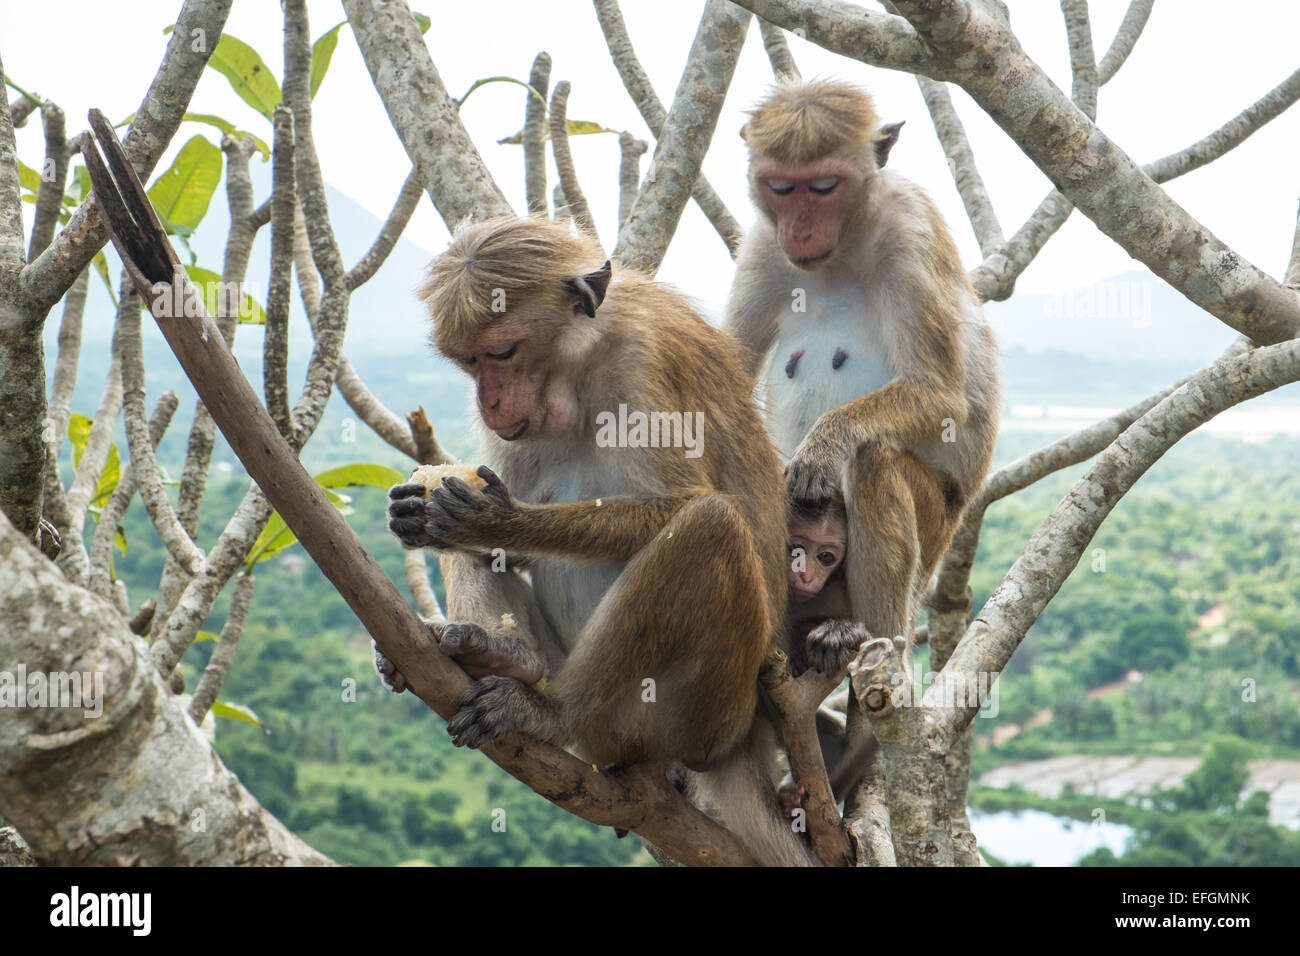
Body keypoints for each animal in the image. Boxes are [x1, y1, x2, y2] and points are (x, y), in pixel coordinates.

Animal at [382, 214, 811, 868]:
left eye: (502, 352)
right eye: (469, 363)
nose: (488, 400)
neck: (580, 367)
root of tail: (746, 741)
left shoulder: (641, 364)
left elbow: (687, 501)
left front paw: (493, 521)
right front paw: (422, 509)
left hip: (689, 716)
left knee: (710, 526)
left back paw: (552, 715)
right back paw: (499, 654)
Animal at [728, 78, 998, 785]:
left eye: (822, 187)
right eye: (780, 186)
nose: (799, 226)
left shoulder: (911, 230)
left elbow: (940, 393)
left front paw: (822, 446)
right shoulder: (762, 246)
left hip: (936, 523)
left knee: (876, 462)